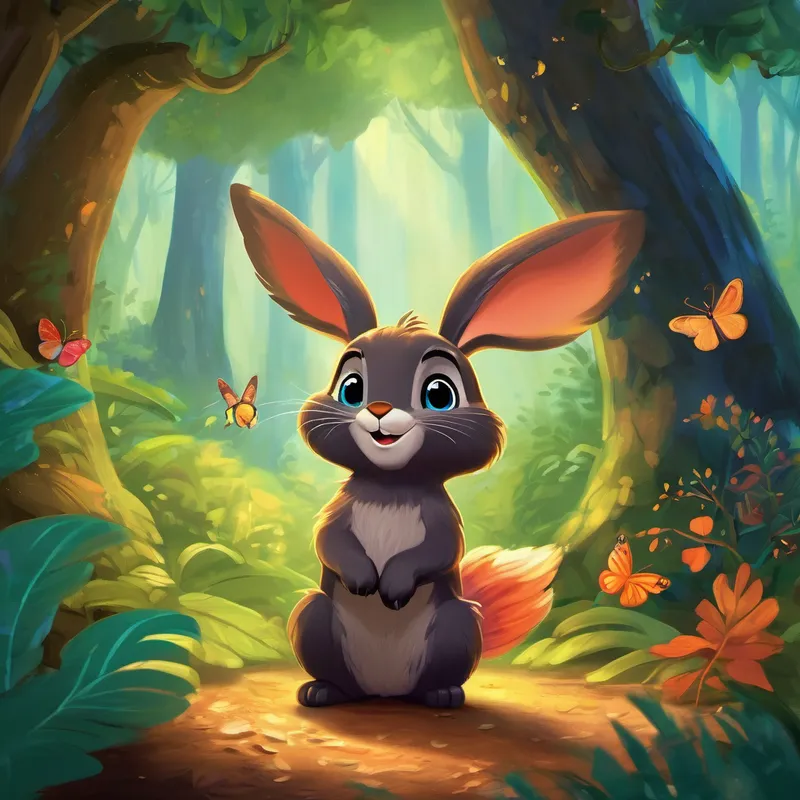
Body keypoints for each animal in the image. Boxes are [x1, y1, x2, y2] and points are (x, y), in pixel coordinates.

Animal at [230, 183, 645, 709]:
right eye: (350, 388)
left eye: (440, 394)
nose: (379, 410)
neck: (391, 487)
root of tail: (385, 692)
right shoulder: (337, 511)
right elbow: (328, 539)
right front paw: (363, 578)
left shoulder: (444, 519)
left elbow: (440, 551)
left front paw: (392, 584)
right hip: (312, 617)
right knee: (330, 661)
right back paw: (322, 691)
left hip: (458, 625)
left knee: (442, 668)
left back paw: (444, 694)